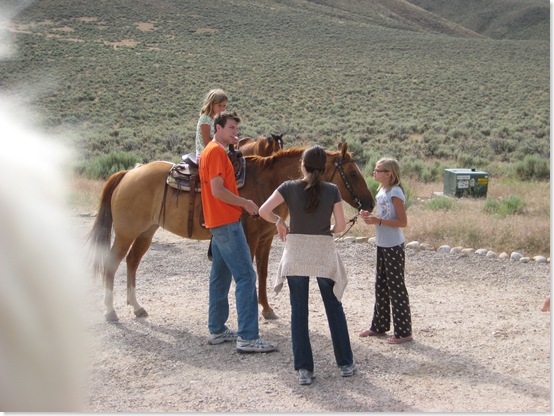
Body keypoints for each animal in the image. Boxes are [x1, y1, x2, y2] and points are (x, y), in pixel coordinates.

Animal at [89, 142, 375, 321]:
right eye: (352, 172)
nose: (370, 203)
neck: (268, 183)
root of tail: (128, 173)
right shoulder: (250, 238)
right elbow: (248, 272)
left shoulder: (266, 239)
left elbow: (262, 273)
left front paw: (267, 309)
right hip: (126, 233)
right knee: (112, 264)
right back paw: (110, 312)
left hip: (145, 232)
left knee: (132, 262)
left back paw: (136, 307)